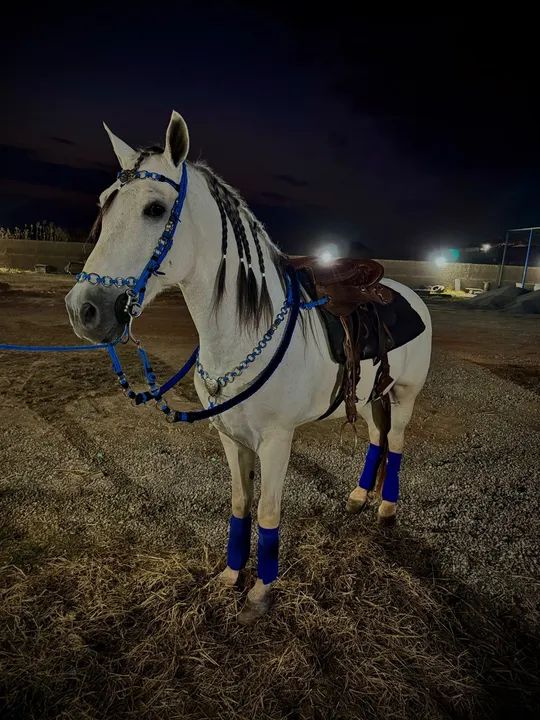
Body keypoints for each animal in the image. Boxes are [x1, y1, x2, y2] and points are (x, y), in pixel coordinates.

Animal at [65, 111, 432, 624]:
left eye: (155, 209)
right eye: (104, 203)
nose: (85, 310)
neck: (241, 333)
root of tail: (409, 293)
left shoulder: (277, 440)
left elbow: (268, 512)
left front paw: (261, 592)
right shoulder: (230, 435)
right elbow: (240, 504)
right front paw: (231, 576)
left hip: (404, 396)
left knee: (395, 443)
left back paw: (387, 509)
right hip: (371, 395)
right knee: (377, 439)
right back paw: (361, 497)